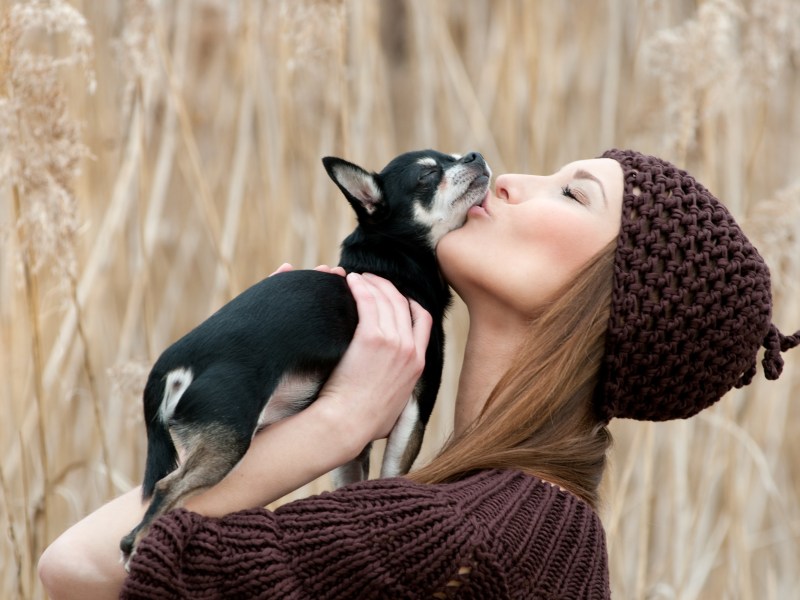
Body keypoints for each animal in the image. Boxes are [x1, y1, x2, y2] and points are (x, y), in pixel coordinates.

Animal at [121, 148, 490, 564]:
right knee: (160, 500)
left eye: (454, 156)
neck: (391, 263)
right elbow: (393, 474)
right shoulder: (414, 412)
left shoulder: (354, 447)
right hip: (227, 443)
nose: (474, 155)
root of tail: (172, 363)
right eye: (427, 176)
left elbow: (351, 482)